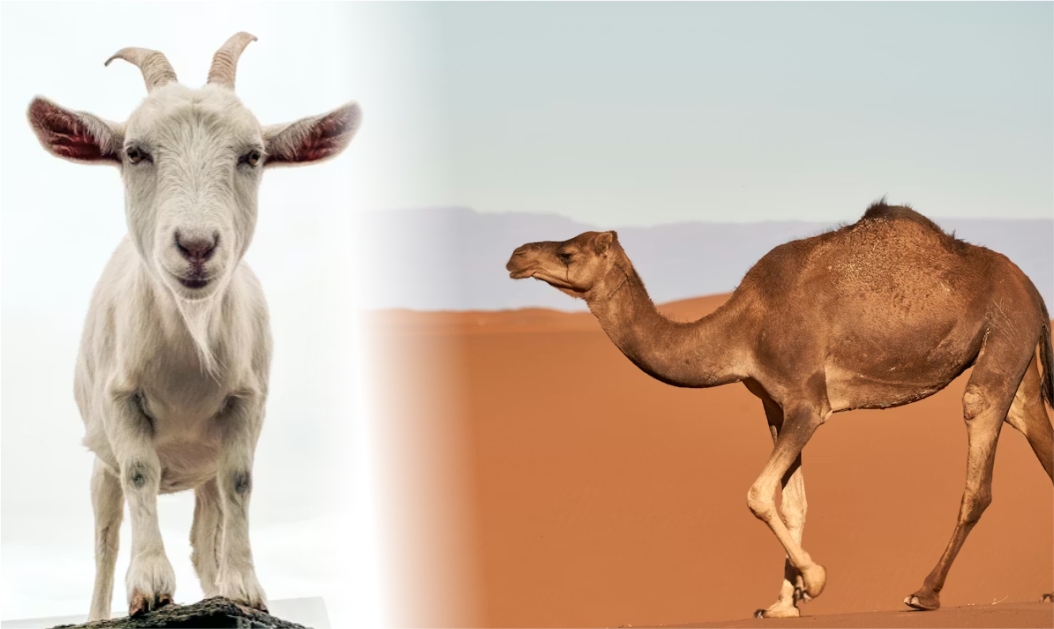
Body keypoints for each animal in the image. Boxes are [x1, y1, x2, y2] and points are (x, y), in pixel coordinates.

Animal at [26, 32, 361, 620]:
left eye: (253, 156)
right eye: (134, 152)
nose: (197, 245)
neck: (189, 338)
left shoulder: (247, 404)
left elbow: (240, 484)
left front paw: (245, 589)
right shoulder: (121, 399)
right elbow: (140, 473)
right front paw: (149, 586)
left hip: (201, 473)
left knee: (207, 536)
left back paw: (216, 586)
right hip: (99, 464)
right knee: (105, 538)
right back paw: (97, 614)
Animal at [505, 201, 1054, 618]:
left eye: (567, 251)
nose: (515, 255)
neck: (741, 329)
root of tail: (1034, 291)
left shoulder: (808, 402)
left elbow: (757, 494)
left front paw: (813, 580)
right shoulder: (774, 403)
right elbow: (792, 502)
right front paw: (783, 603)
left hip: (1004, 334)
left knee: (977, 455)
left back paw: (925, 592)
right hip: (1019, 359)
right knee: (1032, 426)